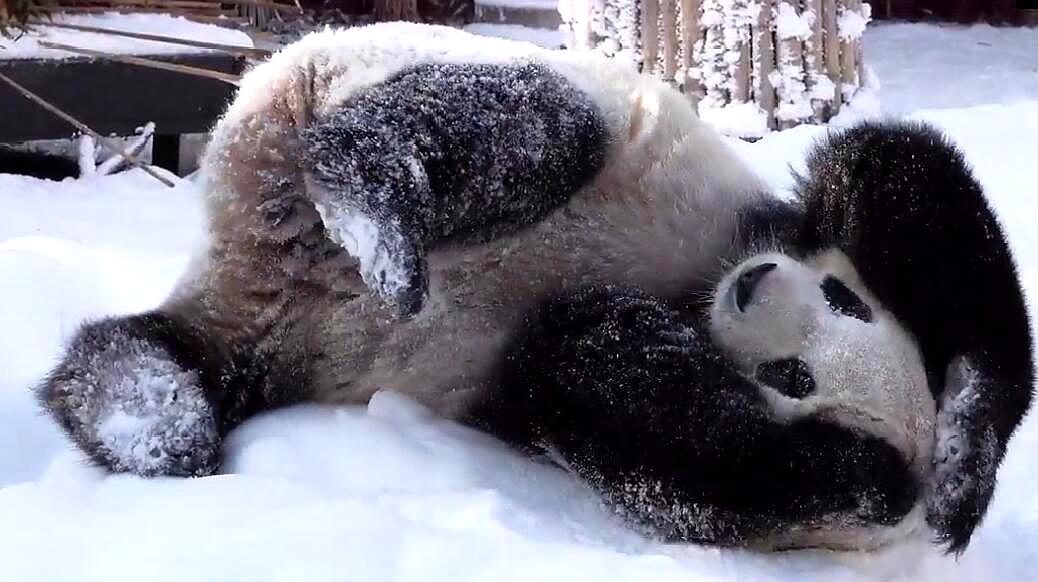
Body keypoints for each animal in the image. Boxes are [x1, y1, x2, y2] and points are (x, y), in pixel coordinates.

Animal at [36, 23, 1033, 551]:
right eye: (843, 301)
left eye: (795, 377)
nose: (753, 289)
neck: (698, 299)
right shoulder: (787, 222)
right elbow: (903, 182)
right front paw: (964, 463)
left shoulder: (735, 480)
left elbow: (606, 391)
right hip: (332, 80)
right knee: (532, 125)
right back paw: (371, 199)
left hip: (264, 340)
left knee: (156, 362)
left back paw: (150, 416)